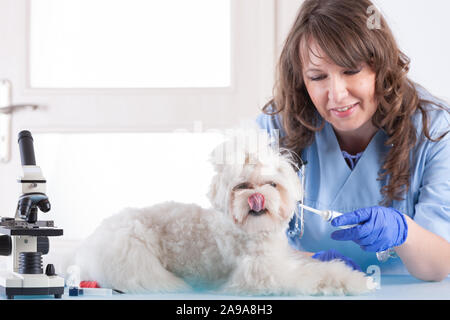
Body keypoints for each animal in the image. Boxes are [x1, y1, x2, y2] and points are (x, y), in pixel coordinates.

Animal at [67, 129, 374, 296]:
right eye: (242, 186)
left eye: (271, 184)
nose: (257, 197)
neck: (253, 233)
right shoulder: (263, 275)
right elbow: (308, 278)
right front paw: (348, 282)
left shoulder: (283, 259)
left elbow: (322, 266)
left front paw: (354, 277)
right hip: (134, 256)